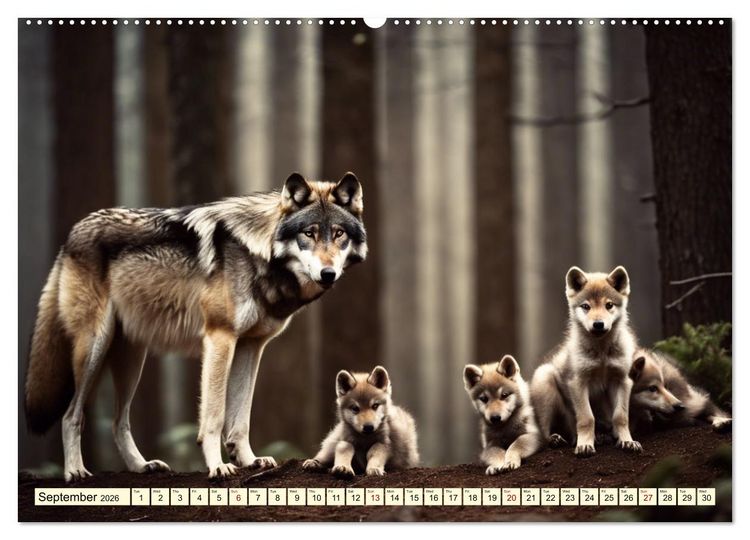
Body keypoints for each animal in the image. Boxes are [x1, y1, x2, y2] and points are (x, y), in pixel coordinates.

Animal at [24, 172, 368, 481]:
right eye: (309, 233)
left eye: (338, 234)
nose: (327, 273)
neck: (258, 253)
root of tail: (72, 233)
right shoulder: (220, 338)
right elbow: (214, 416)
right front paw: (218, 466)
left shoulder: (251, 346)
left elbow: (240, 418)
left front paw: (249, 460)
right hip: (94, 348)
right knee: (72, 414)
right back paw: (75, 471)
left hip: (131, 359)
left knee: (117, 422)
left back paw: (141, 466)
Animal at [530, 266, 643, 457]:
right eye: (586, 306)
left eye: (609, 305)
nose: (598, 324)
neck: (601, 352)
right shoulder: (578, 383)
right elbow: (586, 418)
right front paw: (585, 446)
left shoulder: (622, 380)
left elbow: (620, 417)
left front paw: (627, 441)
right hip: (546, 381)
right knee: (544, 431)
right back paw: (558, 439)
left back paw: (602, 436)